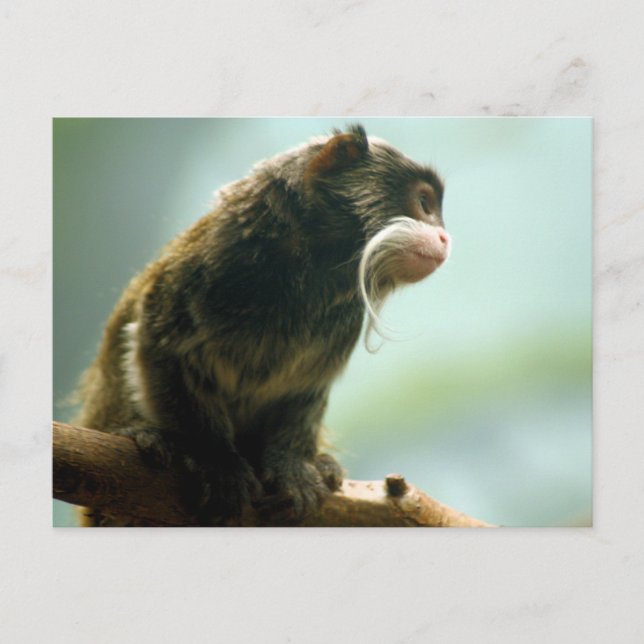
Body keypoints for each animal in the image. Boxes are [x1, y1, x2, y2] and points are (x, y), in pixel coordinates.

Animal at [74, 124, 451, 526]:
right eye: (424, 203)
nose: (446, 238)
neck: (312, 269)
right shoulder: (204, 270)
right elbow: (160, 350)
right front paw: (217, 459)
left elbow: (303, 390)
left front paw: (291, 464)